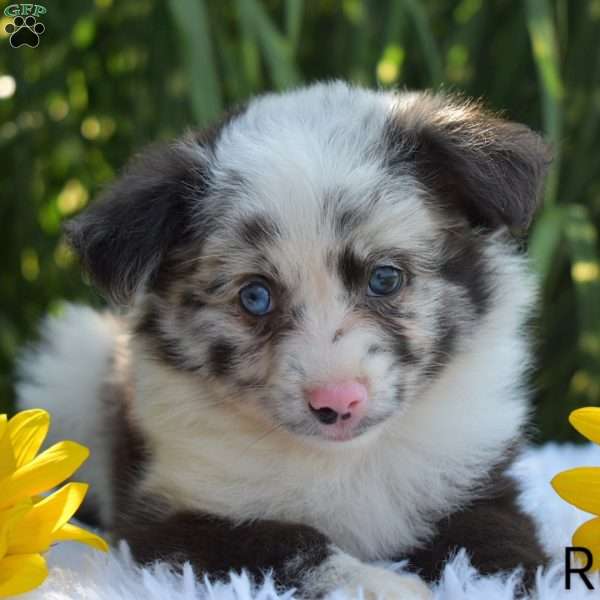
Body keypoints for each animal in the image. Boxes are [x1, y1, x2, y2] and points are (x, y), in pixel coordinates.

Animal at [16, 81, 552, 600]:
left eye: (385, 278)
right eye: (255, 296)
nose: (338, 403)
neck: (347, 461)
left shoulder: (476, 477)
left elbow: (497, 547)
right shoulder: (173, 519)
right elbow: (287, 544)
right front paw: (381, 584)